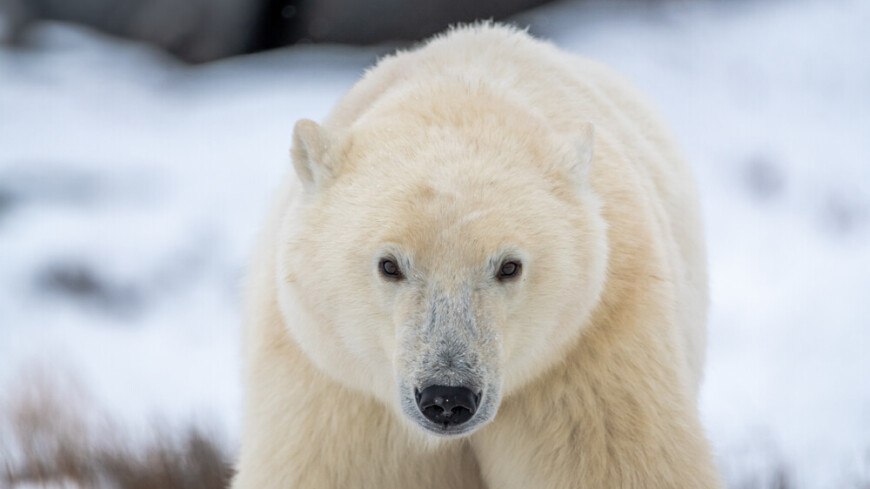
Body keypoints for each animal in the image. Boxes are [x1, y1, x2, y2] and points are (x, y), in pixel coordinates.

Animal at [232, 22, 724, 488]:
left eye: (509, 266)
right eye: (389, 265)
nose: (448, 397)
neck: (461, 92)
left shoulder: (592, 355)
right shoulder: (331, 386)